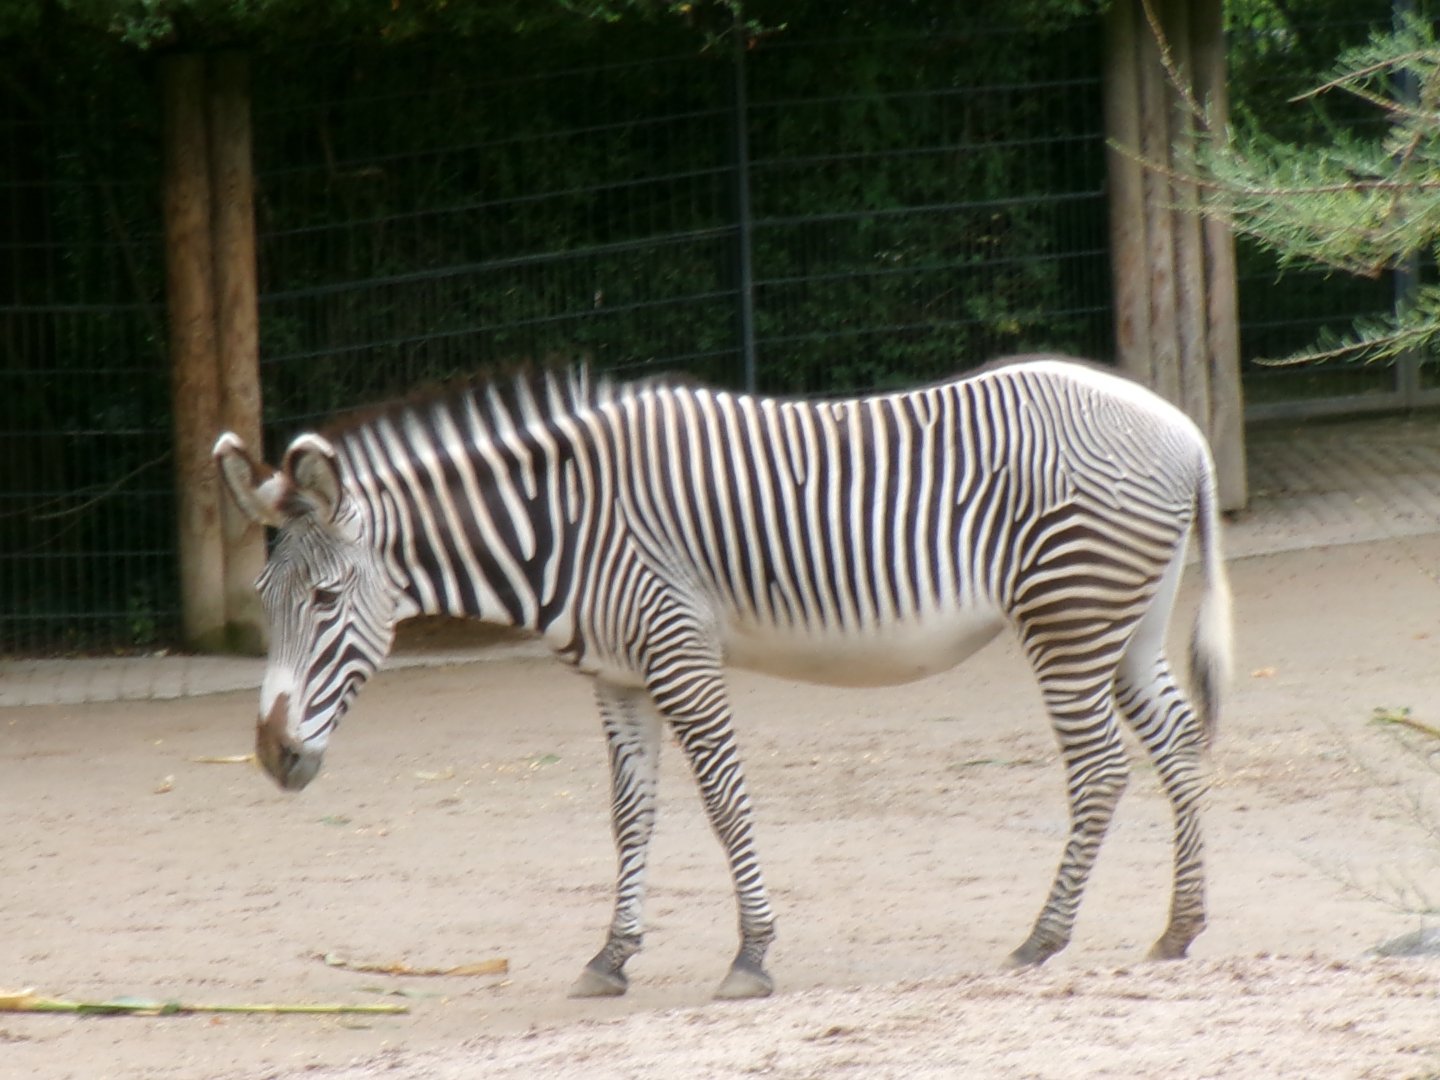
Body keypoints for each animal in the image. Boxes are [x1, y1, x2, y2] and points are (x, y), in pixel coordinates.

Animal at [214, 354, 1232, 1001]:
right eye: (265, 598)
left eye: (329, 601)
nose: (270, 757)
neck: (564, 525)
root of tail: (1183, 426)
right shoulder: (617, 676)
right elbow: (631, 815)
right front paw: (612, 957)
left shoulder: (679, 651)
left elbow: (724, 802)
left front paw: (752, 955)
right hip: (1125, 620)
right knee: (1180, 743)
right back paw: (1180, 928)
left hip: (1068, 615)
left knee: (1100, 769)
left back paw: (1043, 938)